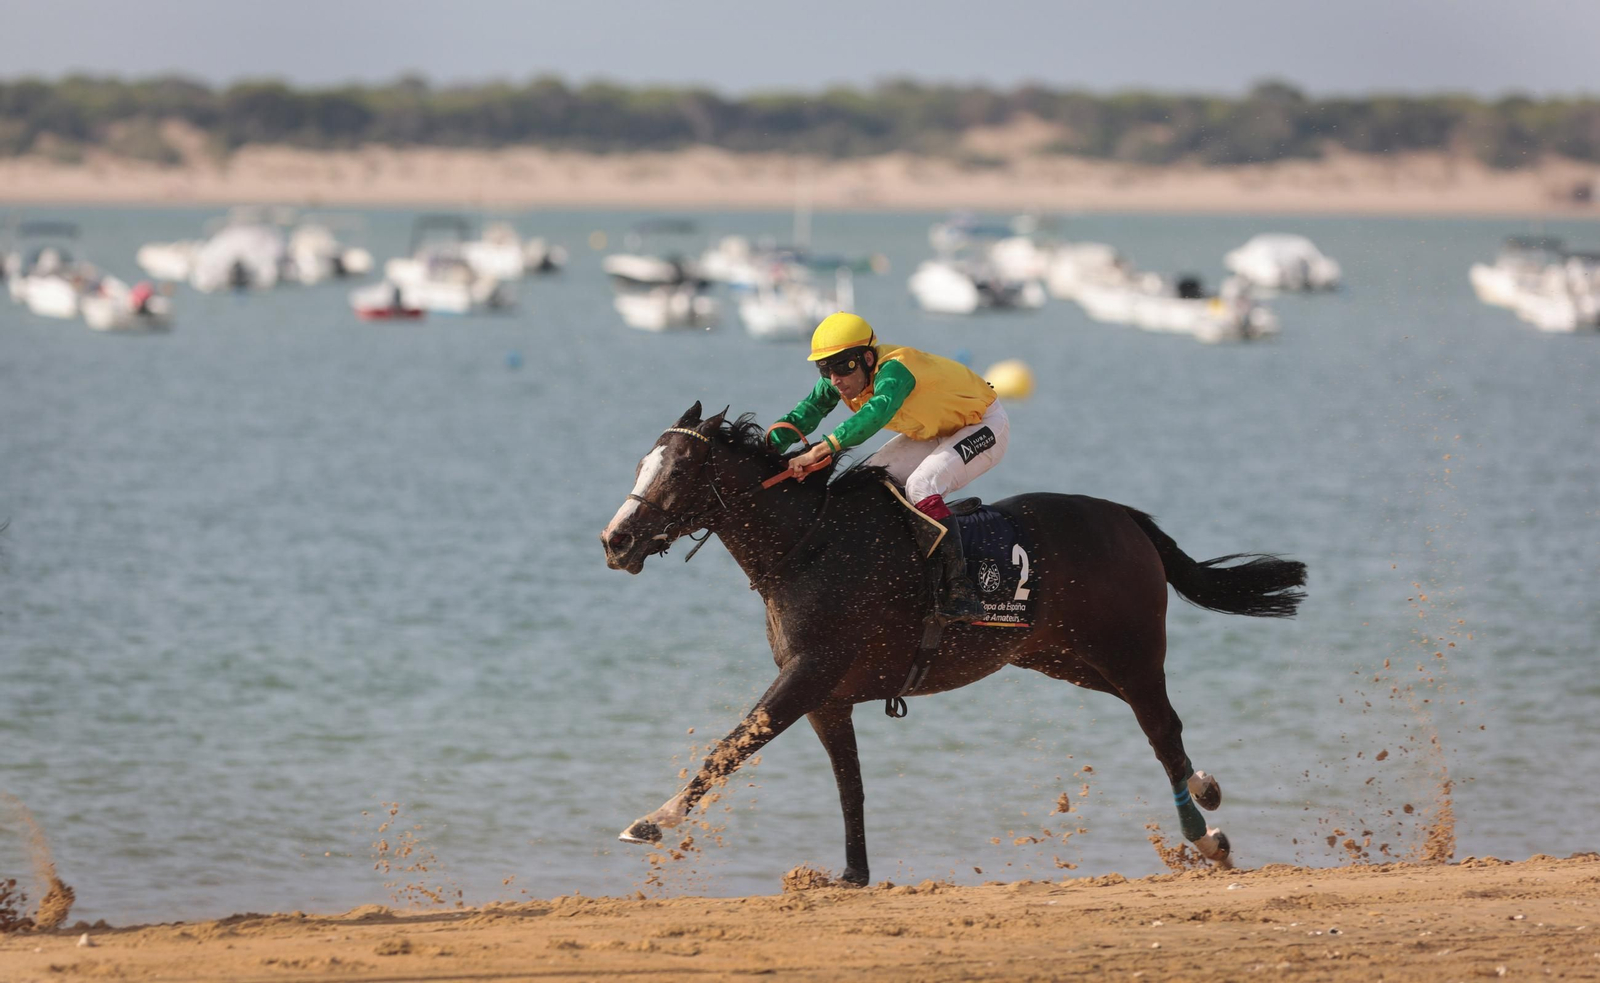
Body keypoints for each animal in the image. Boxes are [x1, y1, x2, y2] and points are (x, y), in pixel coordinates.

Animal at [600, 403, 1306, 883]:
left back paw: (1205, 837)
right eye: (640, 464)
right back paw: (1207, 789)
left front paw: (654, 820)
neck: (810, 545)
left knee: (1160, 728)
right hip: (1060, 656)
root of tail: (1126, 517)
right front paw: (853, 875)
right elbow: (849, 784)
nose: (616, 541)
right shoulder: (828, 698)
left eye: (679, 469)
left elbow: (732, 745)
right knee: (1163, 723)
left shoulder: (810, 672)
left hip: (1127, 653)